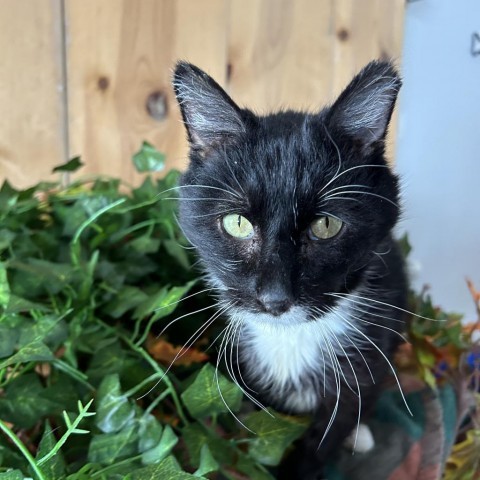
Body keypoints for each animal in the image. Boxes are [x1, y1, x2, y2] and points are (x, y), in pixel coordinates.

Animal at [173, 62, 408, 478]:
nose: (275, 297)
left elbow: (332, 425)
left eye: (326, 225)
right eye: (237, 223)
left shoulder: (367, 352)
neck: (290, 338)